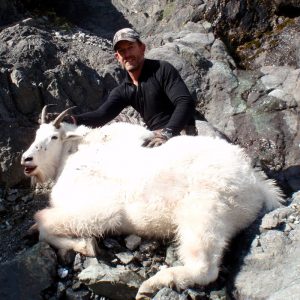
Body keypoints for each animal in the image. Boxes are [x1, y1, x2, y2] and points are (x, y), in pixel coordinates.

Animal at [20, 106, 284, 300]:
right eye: (35, 135)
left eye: (54, 137)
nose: (26, 159)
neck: (72, 156)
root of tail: (255, 181)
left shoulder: (101, 209)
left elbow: (43, 222)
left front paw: (84, 245)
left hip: (205, 211)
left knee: (204, 267)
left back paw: (153, 284)